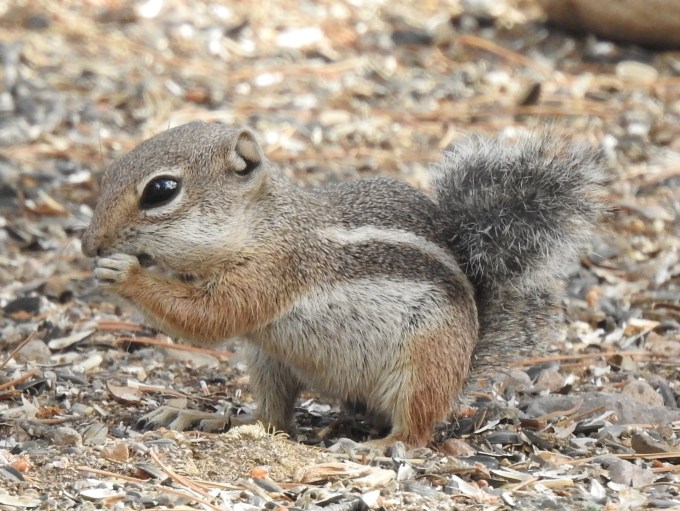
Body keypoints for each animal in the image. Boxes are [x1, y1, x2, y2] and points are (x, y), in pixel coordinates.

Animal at [81, 121, 603, 448]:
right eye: (111, 170)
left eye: (161, 190)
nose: (89, 244)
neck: (262, 223)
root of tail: (466, 362)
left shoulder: (275, 270)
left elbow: (211, 318)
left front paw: (126, 274)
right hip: (267, 361)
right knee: (274, 420)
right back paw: (211, 416)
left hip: (425, 361)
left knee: (418, 428)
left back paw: (384, 445)